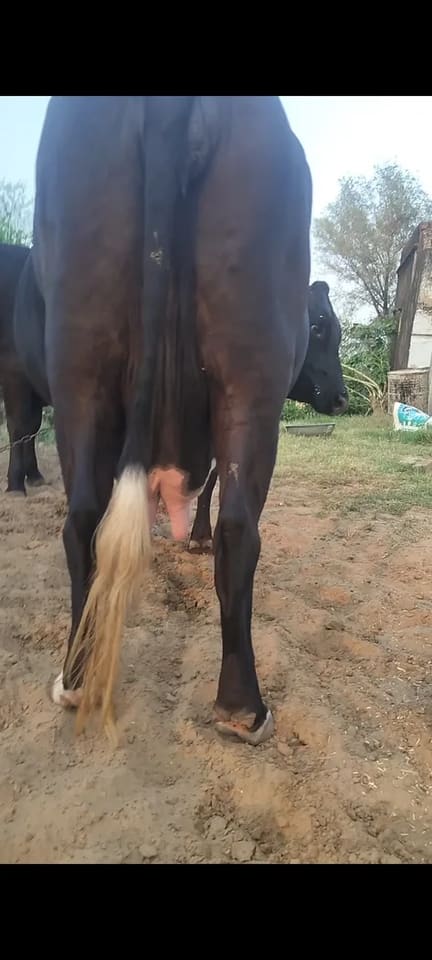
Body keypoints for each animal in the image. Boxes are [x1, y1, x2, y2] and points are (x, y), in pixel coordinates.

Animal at [15, 96, 314, 747]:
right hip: (251, 368)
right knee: (236, 528)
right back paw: (243, 707)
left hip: (82, 364)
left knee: (85, 520)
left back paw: (77, 679)